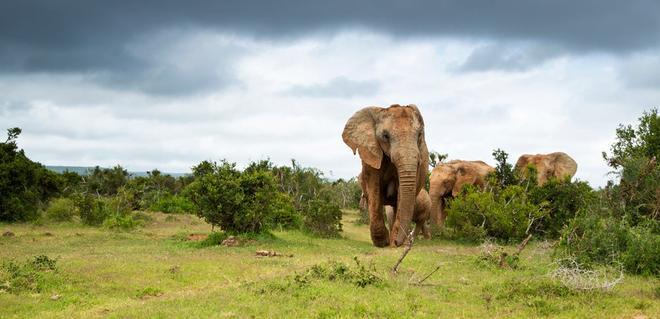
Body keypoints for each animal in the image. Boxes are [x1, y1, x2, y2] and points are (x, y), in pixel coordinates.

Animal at [342, 105, 430, 248]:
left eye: (419, 135)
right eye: (385, 136)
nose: (397, 242)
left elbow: (402, 193)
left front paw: (393, 242)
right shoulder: (371, 153)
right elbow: (373, 187)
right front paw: (382, 243)